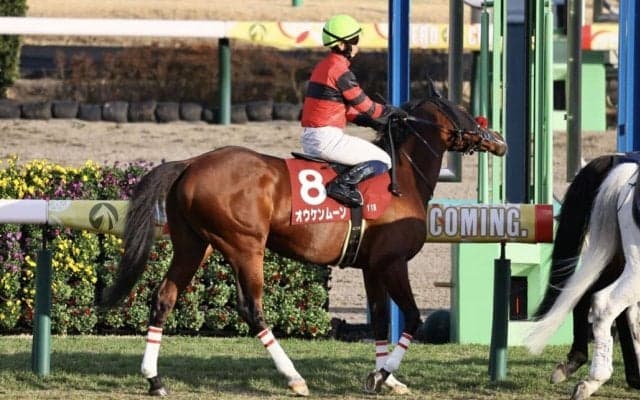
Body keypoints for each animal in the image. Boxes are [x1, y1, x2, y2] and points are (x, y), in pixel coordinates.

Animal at [99, 91, 507, 397]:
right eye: (464, 112)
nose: (498, 141)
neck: (402, 179)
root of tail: (190, 163)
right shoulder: (392, 262)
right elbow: (411, 317)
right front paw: (383, 375)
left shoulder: (372, 266)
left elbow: (378, 320)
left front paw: (386, 379)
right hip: (245, 246)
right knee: (252, 308)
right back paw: (293, 377)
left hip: (193, 245)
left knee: (164, 297)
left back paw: (154, 379)